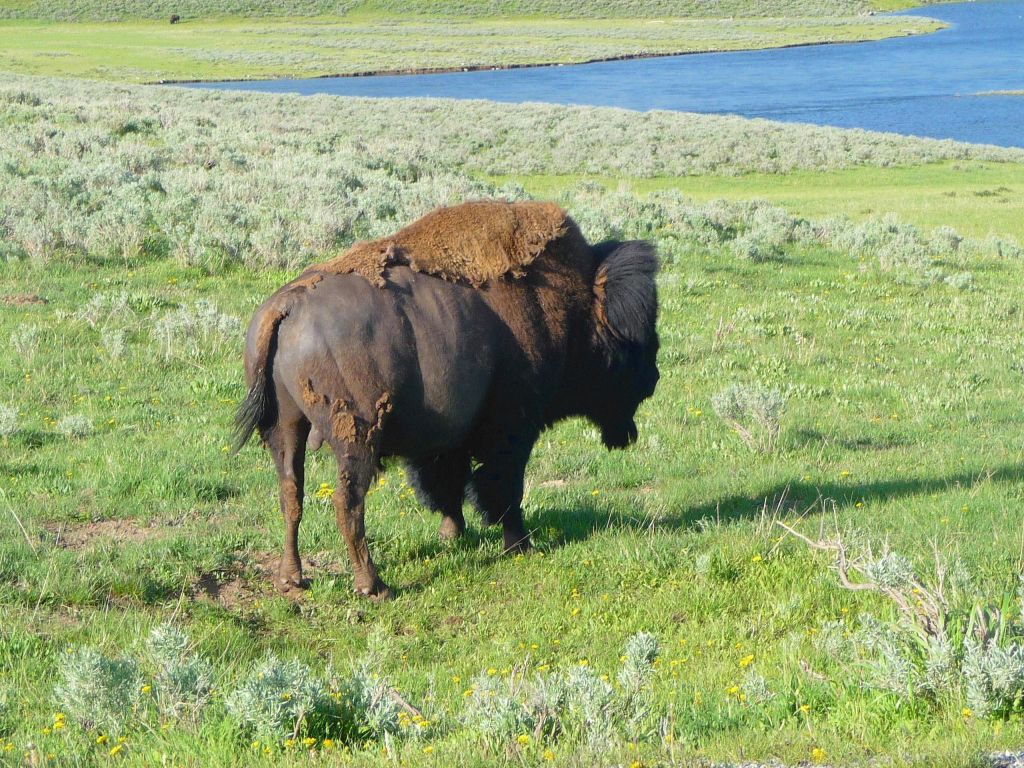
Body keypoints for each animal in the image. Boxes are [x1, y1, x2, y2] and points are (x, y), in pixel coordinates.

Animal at [235, 199, 659, 602]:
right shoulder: (512, 431)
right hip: (355, 435)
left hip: (287, 428)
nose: (652, 378)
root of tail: (288, 305)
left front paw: (452, 535)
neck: (571, 304)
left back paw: (292, 579)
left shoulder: (446, 438)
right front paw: (519, 545)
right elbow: (503, 488)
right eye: (632, 338)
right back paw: (374, 586)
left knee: (291, 492)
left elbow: (447, 486)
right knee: (348, 502)